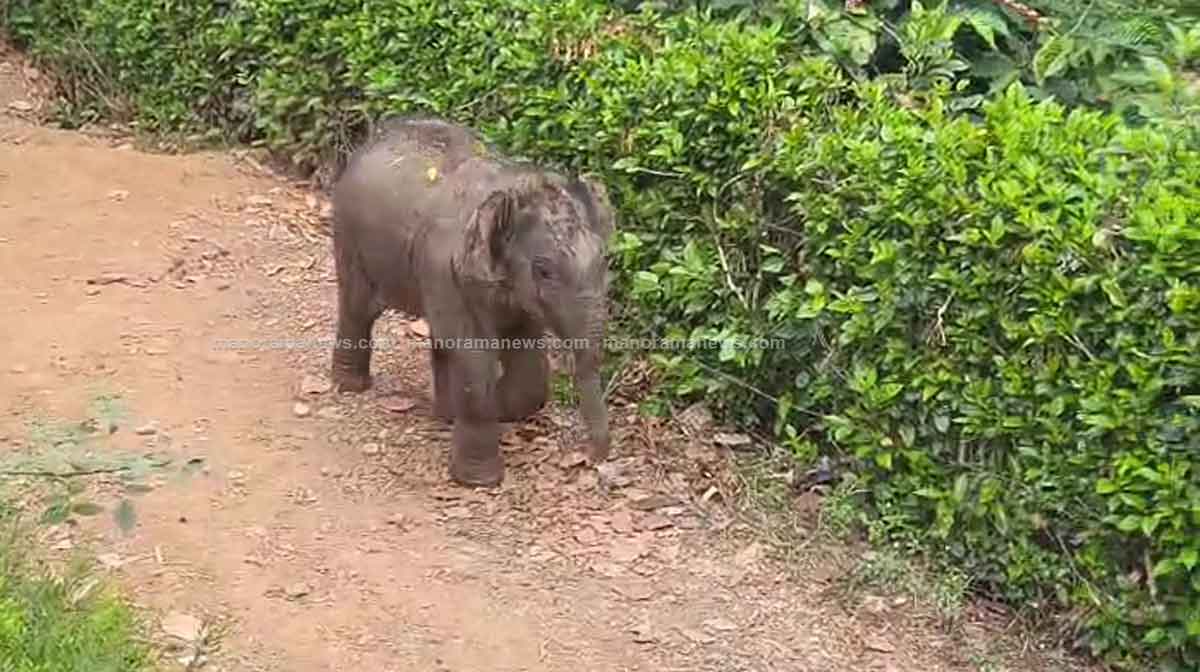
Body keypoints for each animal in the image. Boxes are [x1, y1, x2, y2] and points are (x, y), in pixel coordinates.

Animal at [328, 114, 615, 487]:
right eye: (544, 271)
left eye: (606, 260)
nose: (592, 458)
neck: (515, 186)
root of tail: (371, 138)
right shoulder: (446, 268)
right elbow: (474, 355)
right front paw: (479, 479)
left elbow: (527, 363)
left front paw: (500, 407)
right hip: (350, 238)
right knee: (358, 309)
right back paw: (351, 387)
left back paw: (446, 415)